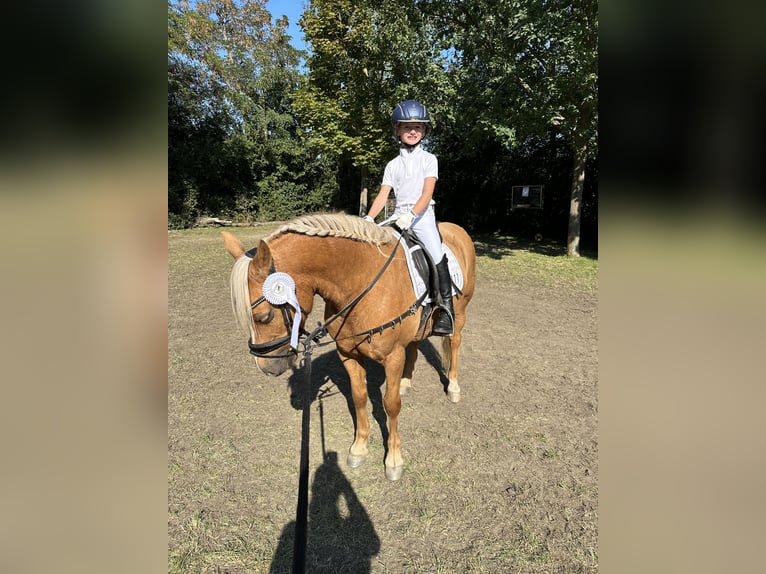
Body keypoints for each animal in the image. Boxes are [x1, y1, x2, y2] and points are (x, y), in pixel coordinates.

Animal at [222, 212, 475, 481]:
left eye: (265, 316)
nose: (267, 368)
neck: (360, 284)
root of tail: (456, 229)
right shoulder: (348, 354)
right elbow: (359, 396)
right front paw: (359, 448)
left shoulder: (393, 356)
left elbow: (391, 405)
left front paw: (394, 460)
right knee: (415, 343)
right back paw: (406, 382)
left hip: (460, 314)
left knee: (454, 344)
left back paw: (453, 388)